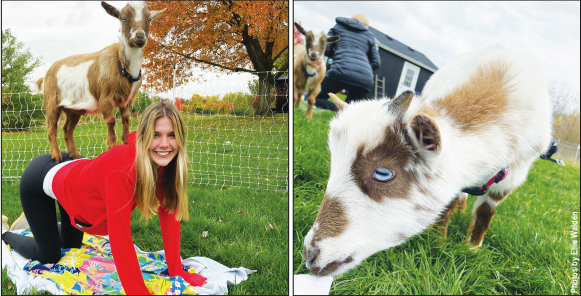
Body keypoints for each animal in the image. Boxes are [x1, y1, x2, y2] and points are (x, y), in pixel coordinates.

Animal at [31, 1, 164, 163]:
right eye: (123, 18)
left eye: (149, 19)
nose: (139, 36)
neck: (123, 67)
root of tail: (47, 74)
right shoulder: (105, 98)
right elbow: (111, 121)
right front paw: (112, 147)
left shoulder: (128, 101)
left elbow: (126, 119)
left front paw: (126, 142)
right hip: (51, 100)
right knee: (51, 127)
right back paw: (56, 156)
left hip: (73, 108)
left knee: (67, 128)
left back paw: (74, 154)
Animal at [304, 45, 552, 276]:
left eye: (383, 173)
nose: (310, 255)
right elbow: (450, 201)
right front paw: (439, 239)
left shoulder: (514, 174)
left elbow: (485, 212)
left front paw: (472, 247)